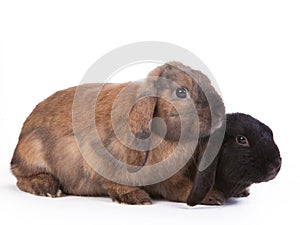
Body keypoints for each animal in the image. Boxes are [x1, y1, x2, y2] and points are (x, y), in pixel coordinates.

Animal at [9, 60, 225, 205]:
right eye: (181, 92)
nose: (220, 115)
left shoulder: (171, 180)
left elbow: (182, 188)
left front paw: (212, 196)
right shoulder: (99, 159)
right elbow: (110, 181)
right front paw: (135, 197)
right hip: (33, 151)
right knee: (21, 178)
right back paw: (46, 188)